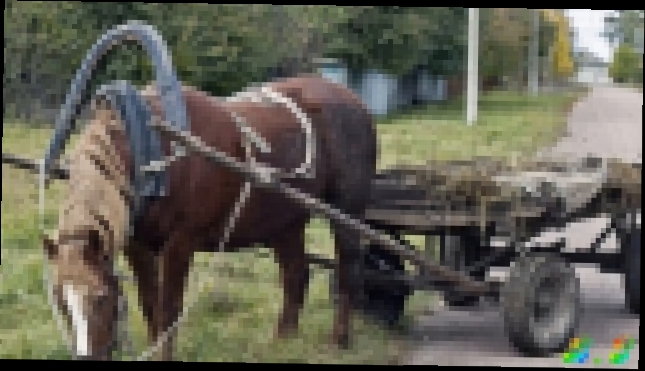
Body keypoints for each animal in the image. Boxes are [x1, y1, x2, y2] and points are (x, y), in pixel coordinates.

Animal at [40, 75, 378, 360]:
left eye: (99, 298)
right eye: (60, 300)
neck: (152, 150)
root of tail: (353, 99)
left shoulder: (180, 243)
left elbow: (169, 308)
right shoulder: (138, 245)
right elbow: (149, 303)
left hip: (346, 211)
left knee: (348, 269)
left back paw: (339, 339)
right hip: (285, 222)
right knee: (296, 273)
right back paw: (283, 340)